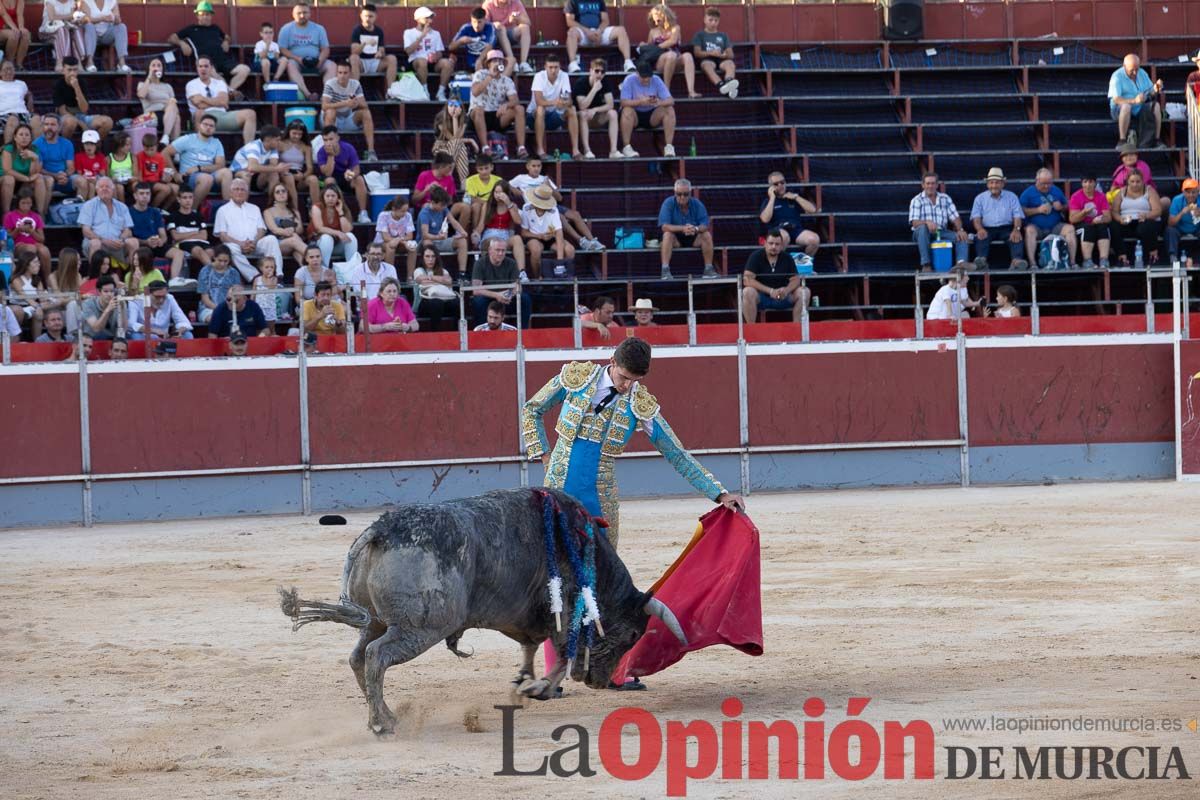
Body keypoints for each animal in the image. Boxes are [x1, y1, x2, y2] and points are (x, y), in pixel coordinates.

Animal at [279, 484, 686, 734]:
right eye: (631, 634)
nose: (600, 682)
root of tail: (379, 531)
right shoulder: (564, 612)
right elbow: (561, 654)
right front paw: (538, 688)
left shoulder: (530, 619)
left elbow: (530, 647)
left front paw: (523, 680)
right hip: (419, 628)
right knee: (377, 657)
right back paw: (384, 724)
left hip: (376, 621)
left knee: (358, 657)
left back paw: (383, 716)